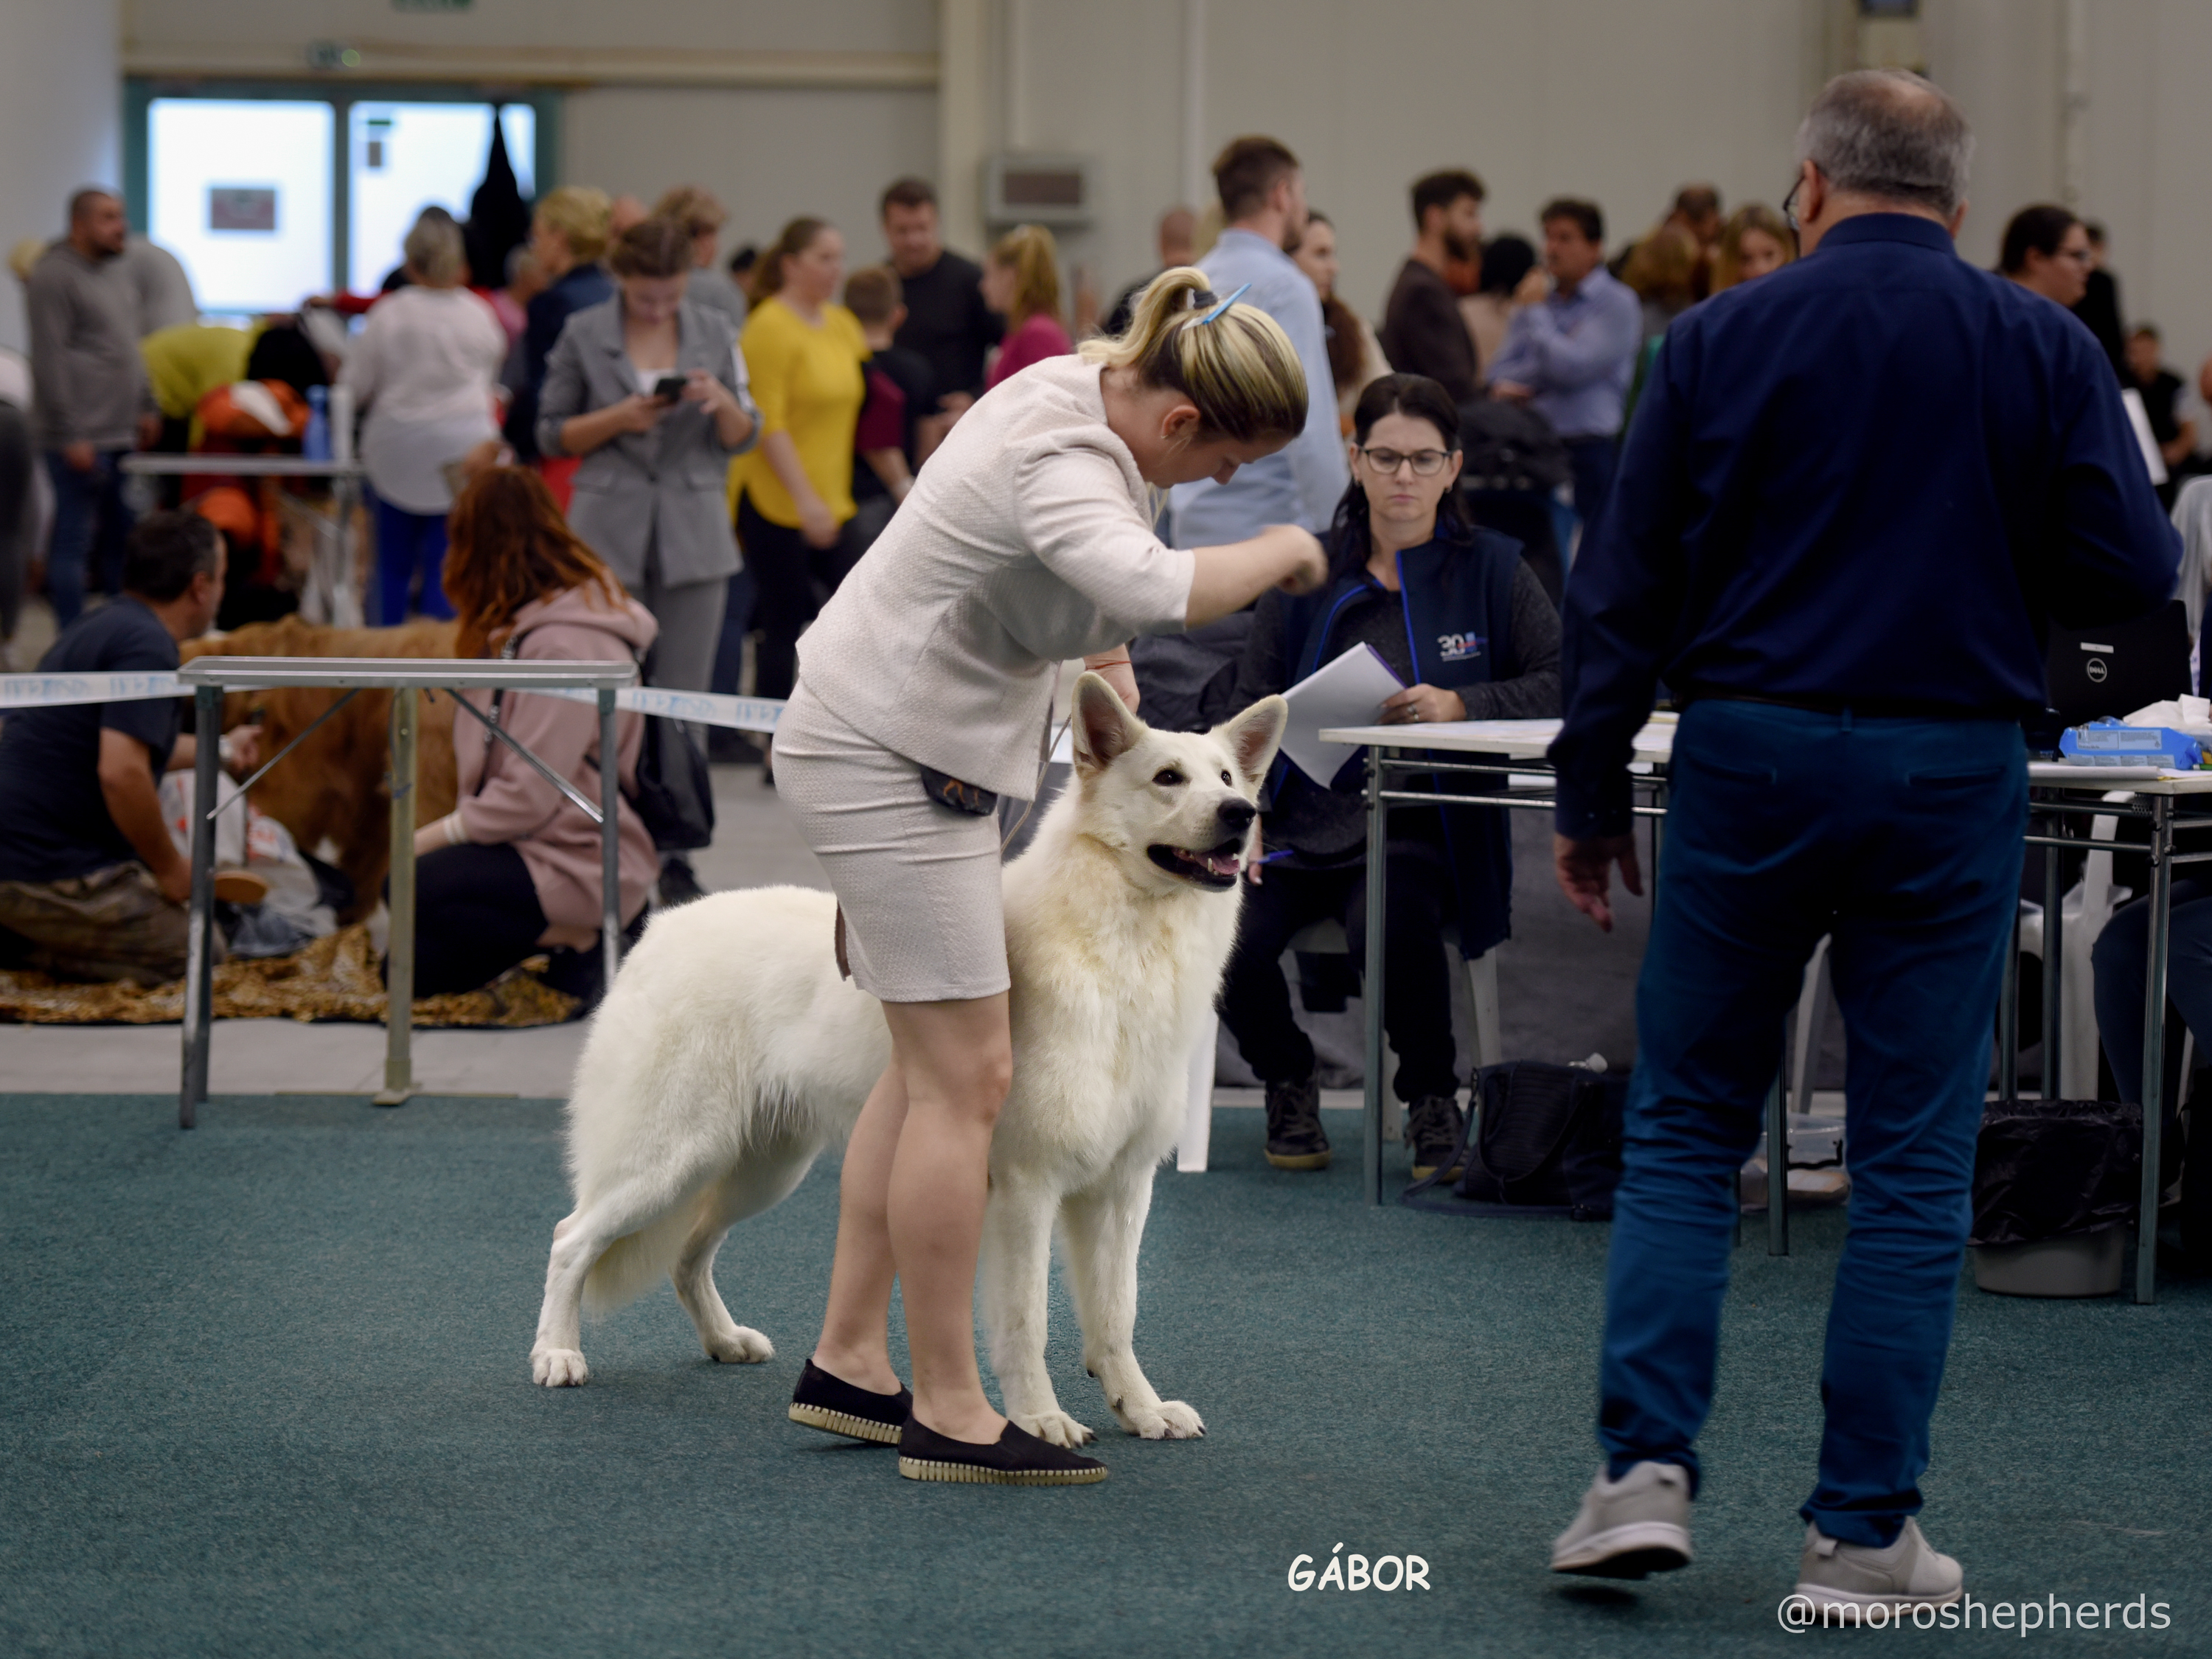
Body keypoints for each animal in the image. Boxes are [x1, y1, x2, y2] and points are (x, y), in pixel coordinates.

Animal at [533, 677, 1292, 1451]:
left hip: (759, 1170)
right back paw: (558, 1354)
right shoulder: (1027, 1189)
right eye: (1168, 779)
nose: (1242, 815)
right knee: (572, 1238)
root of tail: (660, 928)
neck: (1125, 949)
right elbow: (1028, 1321)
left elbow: (1116, 1317)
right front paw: (1040, 1420)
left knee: (688, 1253)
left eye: (1227, 779)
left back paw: (724, 1341)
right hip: (671, 1159)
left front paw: (1141, 1410)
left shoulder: (1121, 1189)